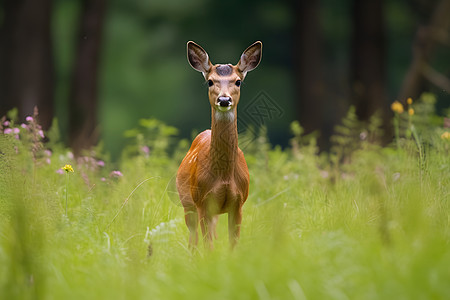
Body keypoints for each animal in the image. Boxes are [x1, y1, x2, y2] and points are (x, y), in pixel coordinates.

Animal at [175, 41, 262, 250]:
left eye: (238, 81)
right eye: (210, 81)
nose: (224, 99)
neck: (224, 177)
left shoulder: (238, 203)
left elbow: (233, 245)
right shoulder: (202, 202)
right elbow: (208, 247)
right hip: (188, 204)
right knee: (193, 240)